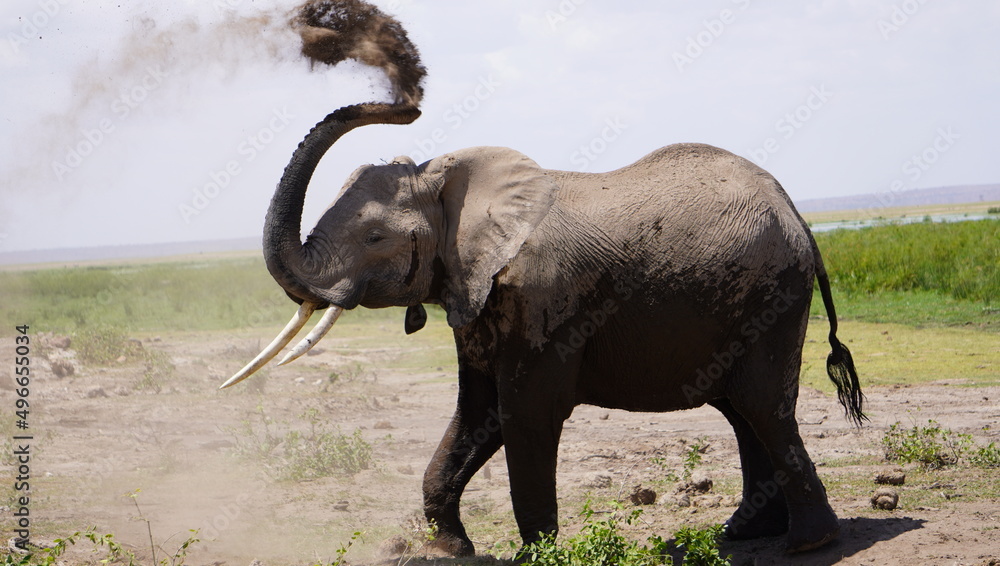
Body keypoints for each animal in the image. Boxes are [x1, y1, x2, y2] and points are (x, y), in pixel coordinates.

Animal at [221, 101, 865, 556]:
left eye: (375, 238)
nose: (407, 105)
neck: (450, 181)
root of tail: (799, 216)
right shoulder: (476, 294)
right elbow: (477, 413)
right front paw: (450, 550)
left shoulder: (542, 300)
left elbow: (525, 413)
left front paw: (536, 557)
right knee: (739, 409)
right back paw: (742, 534)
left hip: (772, 297)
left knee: (760, 404)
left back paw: (808, 544)